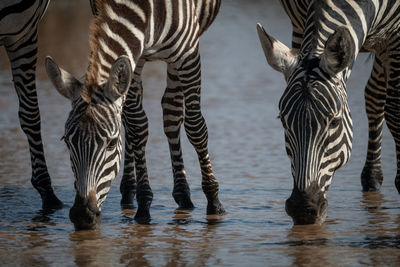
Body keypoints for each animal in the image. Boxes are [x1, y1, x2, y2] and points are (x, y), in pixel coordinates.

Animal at [45, 0, 225, 230]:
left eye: (112, 143)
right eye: (67, 141)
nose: (82, 216)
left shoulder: (188, 53)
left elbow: (195, 126)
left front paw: (214, 202)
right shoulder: (133, 57)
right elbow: (137, 127)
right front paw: (144, 204)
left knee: (172, 111)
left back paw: (184, 196)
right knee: (131, 118)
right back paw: (130, 191)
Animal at [258, 0, 400, 226]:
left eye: (334, 122)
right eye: (283, 122)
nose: (302, 210)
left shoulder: (394, 36)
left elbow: (394, 111)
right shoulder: (299, 23)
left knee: (377, 94)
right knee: (374, 95)